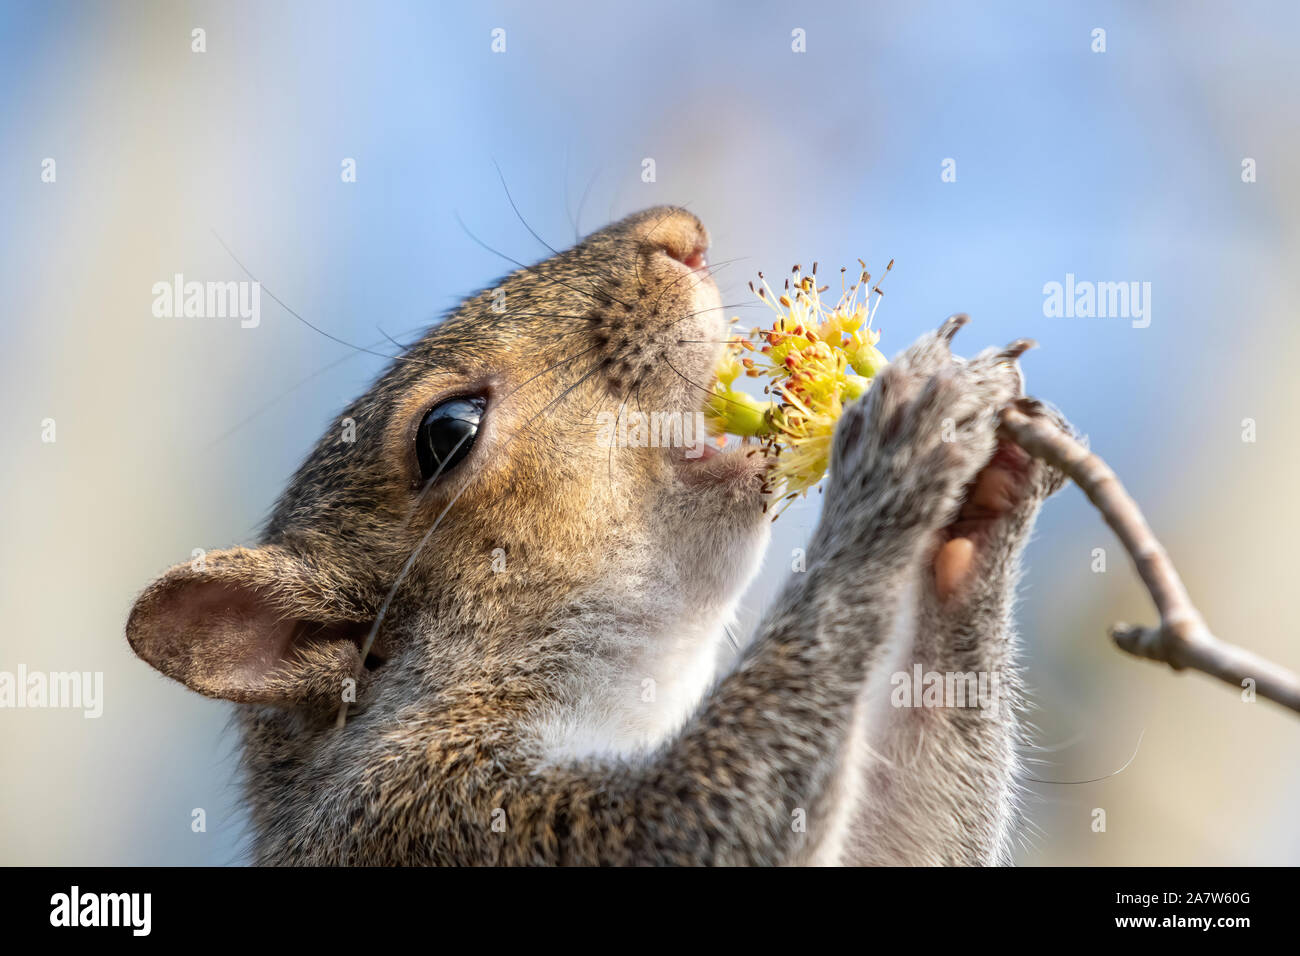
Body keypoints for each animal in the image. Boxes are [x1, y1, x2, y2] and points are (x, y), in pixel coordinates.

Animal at [126, 205, 1071, 863]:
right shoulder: (441, 815)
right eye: (446, 432)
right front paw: (895, 454)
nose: (682, 234)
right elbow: (705, 820)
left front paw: (985, 511)